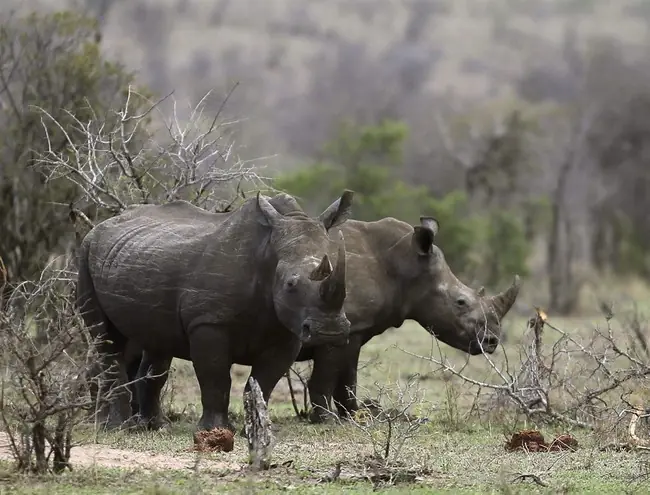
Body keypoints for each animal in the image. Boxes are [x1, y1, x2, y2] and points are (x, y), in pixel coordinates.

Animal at [77, 191, 354, 432]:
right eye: (290, 284)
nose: (330, 332)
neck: (268, 255)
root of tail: (98, 227)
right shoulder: (208, 322)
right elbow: (215, 377)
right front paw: (215, 429)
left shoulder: (288, 332)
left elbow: (264, 381)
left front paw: (256, 428)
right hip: (86, 253)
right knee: (106, 339)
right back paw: (118, 427)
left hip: (139, 258)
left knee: (157, 345)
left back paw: (155, 427)